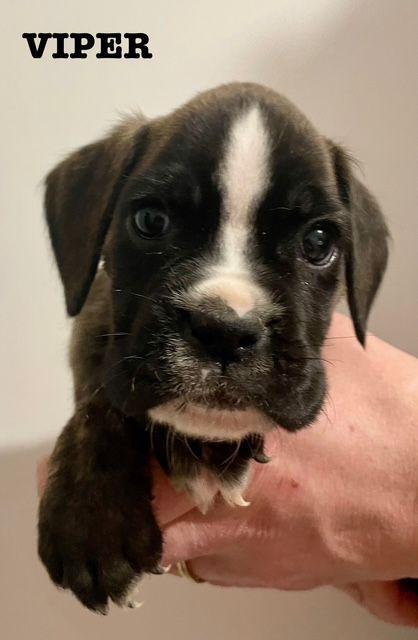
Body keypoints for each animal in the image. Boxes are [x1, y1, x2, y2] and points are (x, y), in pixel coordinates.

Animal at [38, 82, 389, 613]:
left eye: (318, 242)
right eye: (150, 220)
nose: (225, 329)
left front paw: (207, 448)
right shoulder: (97, 319)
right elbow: (100, 398)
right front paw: (91, 517)